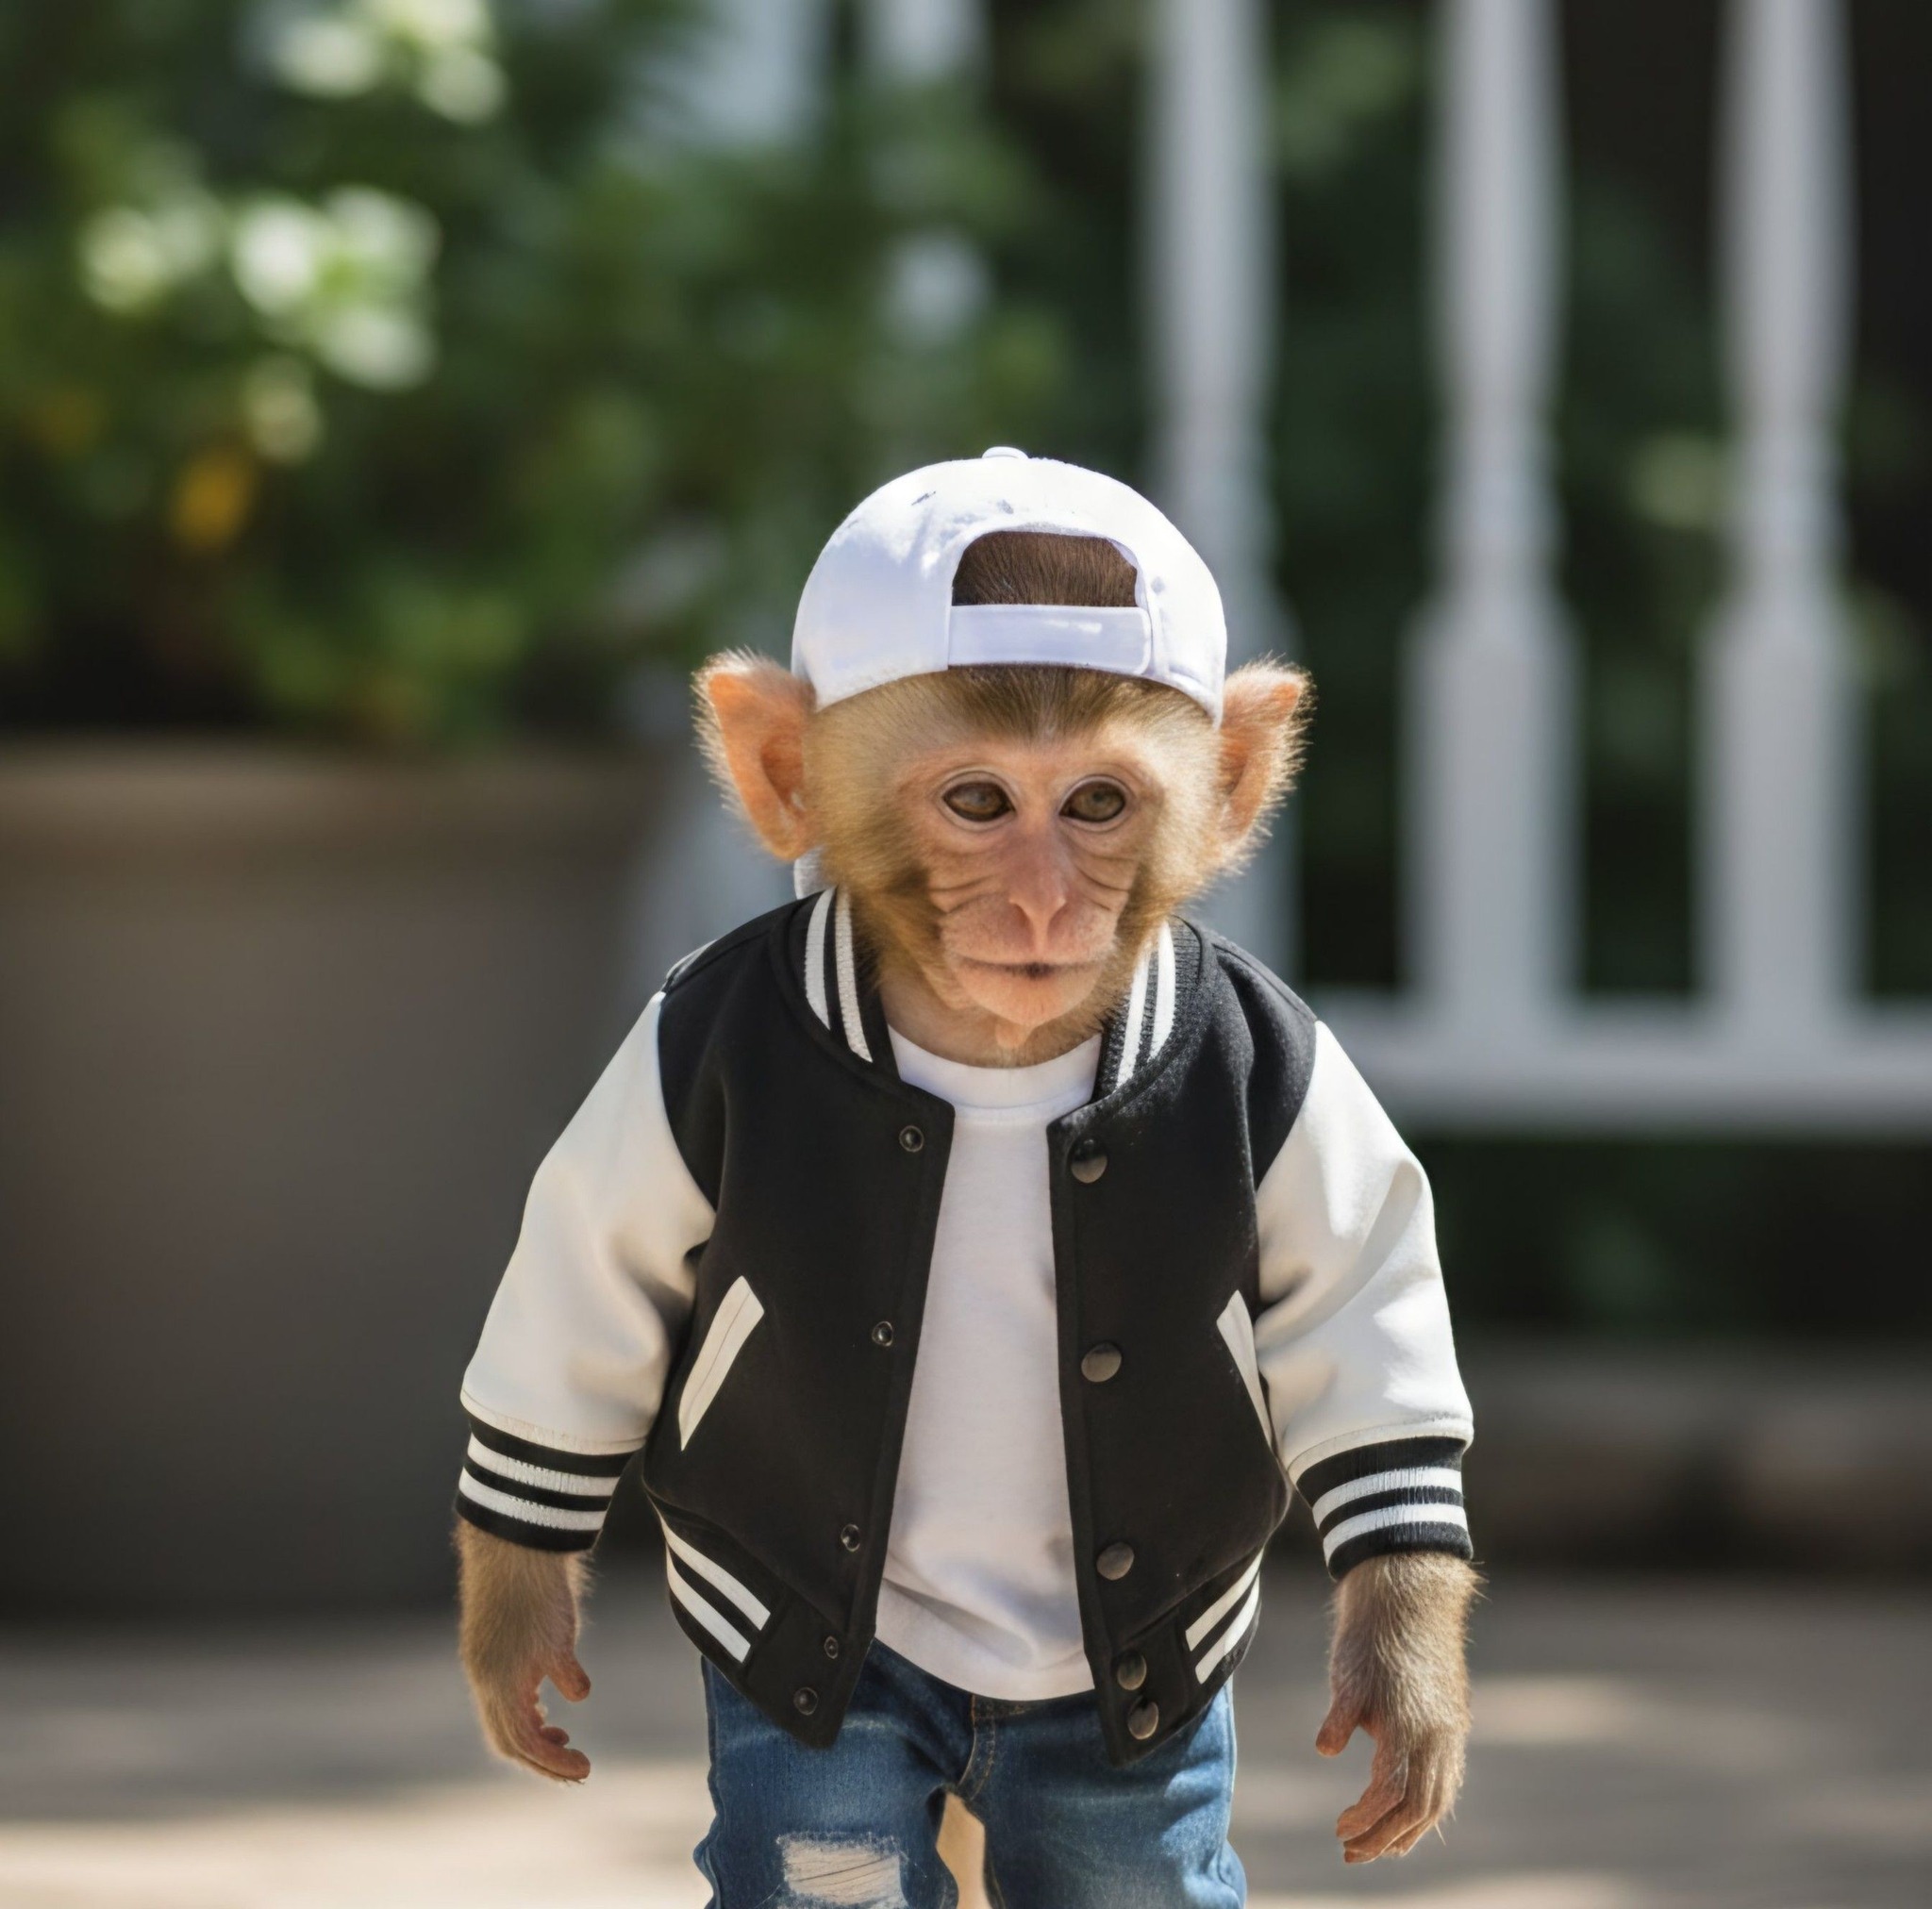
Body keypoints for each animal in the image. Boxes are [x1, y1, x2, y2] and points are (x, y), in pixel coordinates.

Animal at [453, 456, 1477, 1901]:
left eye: (1096, 803)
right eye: (980, 803)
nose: (1045, 909)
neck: (992, 1046)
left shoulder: (1297, 1074)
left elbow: (1358, 1330)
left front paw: (1404, 1666)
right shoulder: (670, 1055)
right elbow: (592, 1306)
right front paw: (514, 1610)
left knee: (1122, 1847)